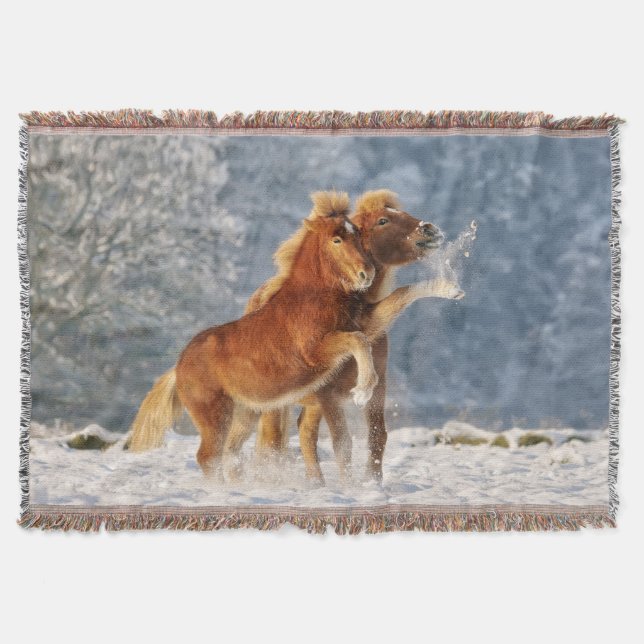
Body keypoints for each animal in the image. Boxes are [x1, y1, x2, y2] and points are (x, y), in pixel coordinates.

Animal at [127, 192, 378, 475]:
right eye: (336, 239)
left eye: (357, 234)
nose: (367, 273)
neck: (311, 299)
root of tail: (178, 366)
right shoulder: (316, 351)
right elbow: (358, 341)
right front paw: (363, 391)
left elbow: (365, 338)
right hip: (215, 415)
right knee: (208, 457)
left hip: (244, 413)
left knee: (229, 454)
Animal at [227, 190, 455, 483]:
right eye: (383, 220)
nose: (430, 229)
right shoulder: (328, 394)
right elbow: (341, 443)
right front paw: (350, 487)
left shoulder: (378, 388)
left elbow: (377, 436)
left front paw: (373, 483)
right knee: (270, 441)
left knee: (302, 433)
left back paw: (316, 484)